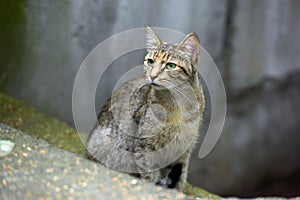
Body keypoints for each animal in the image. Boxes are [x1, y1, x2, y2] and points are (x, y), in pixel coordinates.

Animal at [85, 25, 205, 191]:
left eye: (171, 65)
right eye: (150, 61)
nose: (152, 75)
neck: (179, 106)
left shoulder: (183, 151)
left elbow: (180, 178)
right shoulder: (145, 146)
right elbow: (149, 173)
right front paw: (154, 184)